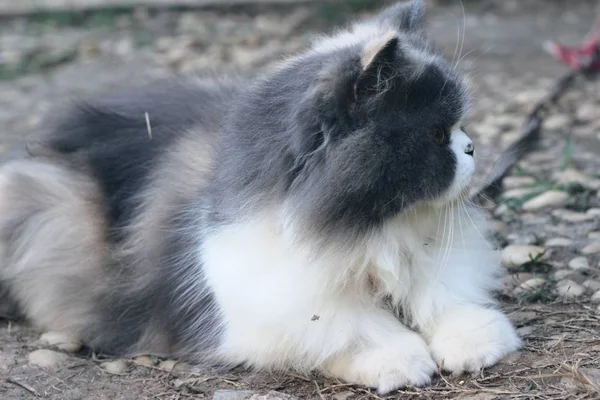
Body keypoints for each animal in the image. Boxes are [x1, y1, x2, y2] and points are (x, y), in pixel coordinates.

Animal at [0, 0, 516, 394]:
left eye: (460, 127)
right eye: (436, 135)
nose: (472, 147)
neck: (367, 234)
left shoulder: (432, 264)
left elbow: (445, 300)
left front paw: (479, 343)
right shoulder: (276, 310)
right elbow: (352, 329)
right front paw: (399, 360)